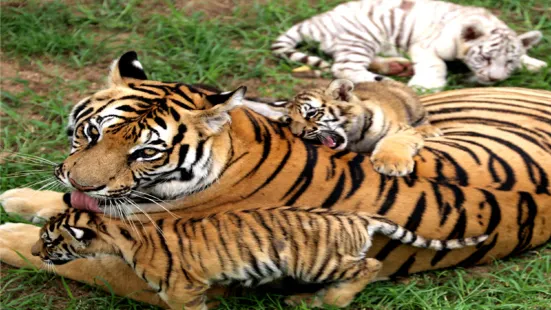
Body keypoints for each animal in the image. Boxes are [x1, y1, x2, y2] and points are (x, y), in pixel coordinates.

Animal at [1, 52, 551, 306]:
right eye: (92, 132)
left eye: (147, 152)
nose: (84, 184)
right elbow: (58, 208)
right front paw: (19, 196)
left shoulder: (159, 270)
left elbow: (67, 258)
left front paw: (12, 231)